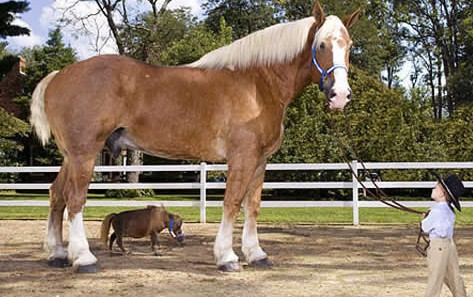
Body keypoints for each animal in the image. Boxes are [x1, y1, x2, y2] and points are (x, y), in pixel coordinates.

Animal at [29, 2, 360, 272]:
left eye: (349, 46)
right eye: (321, 45)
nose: (340, 95)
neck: (257, 84)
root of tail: (58, 76)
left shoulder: (260, 161)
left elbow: (252, 206)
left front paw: (256, 254)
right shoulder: (242, 158)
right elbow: (232, 203)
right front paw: (227, 257)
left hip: (70, 156)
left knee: (56, 195)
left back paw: (57, 254)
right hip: (84, 153)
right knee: (75, 199)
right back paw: (83, 258)